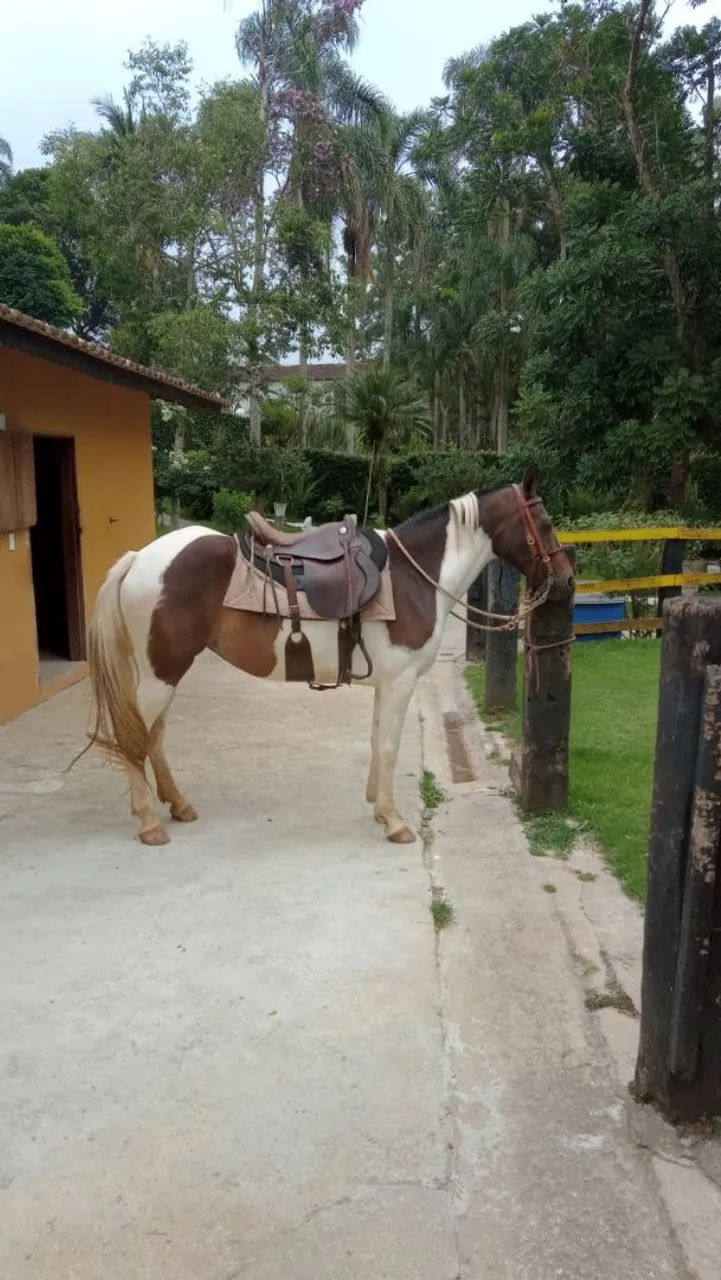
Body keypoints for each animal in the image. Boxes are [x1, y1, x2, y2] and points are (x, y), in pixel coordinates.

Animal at [83, 471, 574, 846]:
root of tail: (140, 558)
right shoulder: (400, 683)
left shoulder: (387, 684)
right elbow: (390, 747)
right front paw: (395, 823)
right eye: (545, 521)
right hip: (160, 674)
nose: (568, 578)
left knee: (153, 737)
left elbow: (377, 741)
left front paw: (378, 808)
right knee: (134, 739)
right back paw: (150, 823)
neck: (416, 577)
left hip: (164, 672)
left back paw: (178, 805)